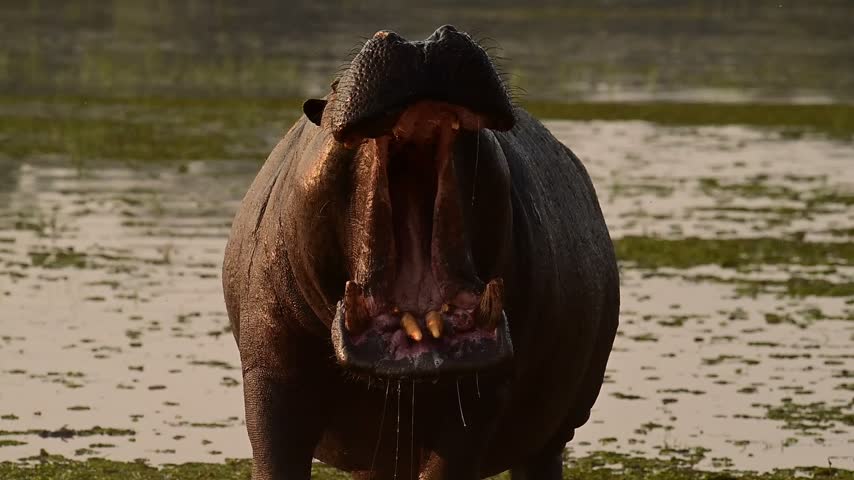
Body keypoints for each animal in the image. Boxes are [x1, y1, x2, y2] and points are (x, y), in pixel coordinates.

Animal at [222, 25, 619, 480]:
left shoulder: (482, 391)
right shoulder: (271, 375)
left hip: (552, 428)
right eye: (335, 86)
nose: (420, 43)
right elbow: (274, 451)